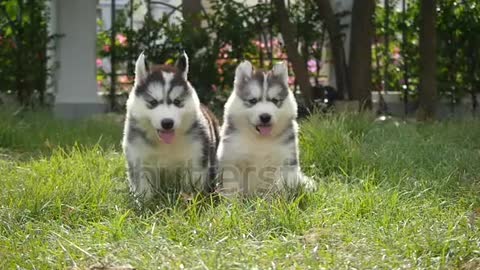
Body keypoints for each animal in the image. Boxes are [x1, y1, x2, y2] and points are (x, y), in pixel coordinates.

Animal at [122, 52, 219, 200]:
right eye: (153, 102)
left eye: (177, 102)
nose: (167, 123)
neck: (165, 144)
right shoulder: (139, 158)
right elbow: (143, 187)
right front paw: (145, 203)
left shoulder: (195, 158)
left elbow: (191, 186)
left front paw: (192, 199)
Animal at [217, 61, 316, 194]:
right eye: (253, 100)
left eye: (274, 100)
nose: (265, 117)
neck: (261, 140)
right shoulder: (233, 159)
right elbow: (232, 186)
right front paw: (232, 200)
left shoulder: (285, 159)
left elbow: (280, 187)